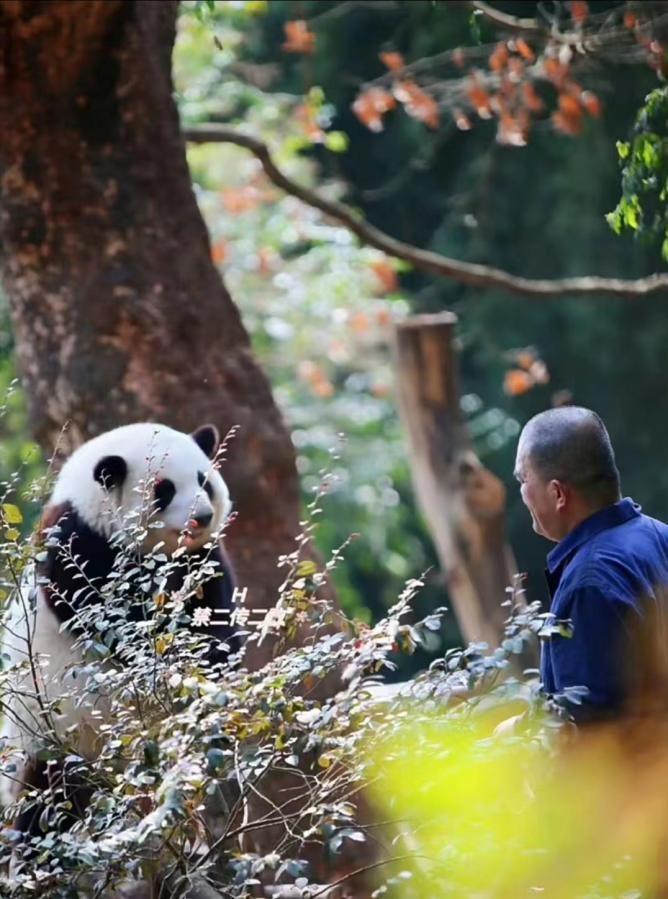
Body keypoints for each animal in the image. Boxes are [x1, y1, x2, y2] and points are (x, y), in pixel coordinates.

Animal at [0, 422, 240, 836]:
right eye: (165, 489)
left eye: (203, 481)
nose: (203, 517)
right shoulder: (77, 547)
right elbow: (115, 626)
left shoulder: (200, 558)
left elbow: (212, 615)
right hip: (50, 733)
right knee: (52, 798)